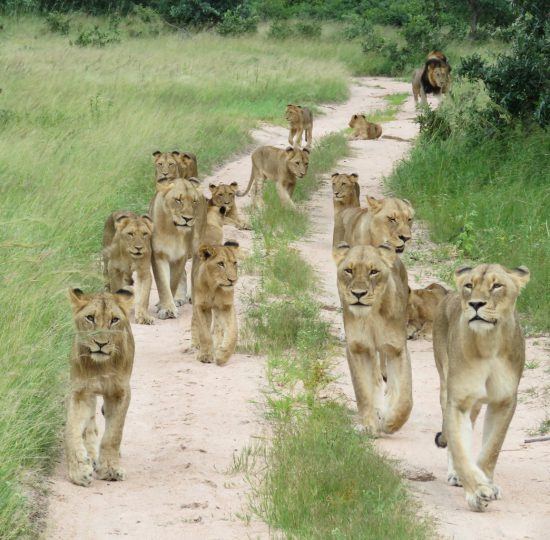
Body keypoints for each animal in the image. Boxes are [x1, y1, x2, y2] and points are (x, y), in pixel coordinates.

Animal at [66, 288, 135, 488]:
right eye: (90, 318)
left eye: (114, 319)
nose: (101, 344)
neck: (101, 366)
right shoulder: (80, 392)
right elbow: (72, 429)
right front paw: (79, 470)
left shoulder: (121, 392)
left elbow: (113, 434)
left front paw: (110, 469)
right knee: (89, 426)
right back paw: (90, 455)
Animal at [336, 244, 414, 434]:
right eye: (349, 270)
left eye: (373, 272)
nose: (358, 294)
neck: (371, 316)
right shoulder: (357, 348)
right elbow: (363, 391)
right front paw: (369, 424)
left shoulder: (397, 349)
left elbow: (405, 398)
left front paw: (391, 423)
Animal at [434, 264, 532, 512]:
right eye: (469, 285)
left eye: (496, 286)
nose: (475, 304)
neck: (489, 345)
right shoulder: (458, 401)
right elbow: (460, 449)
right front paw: (477, 491)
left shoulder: (504, 402)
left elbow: (492, 448)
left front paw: (487, 482)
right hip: (445, 385)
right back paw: (456, 475)